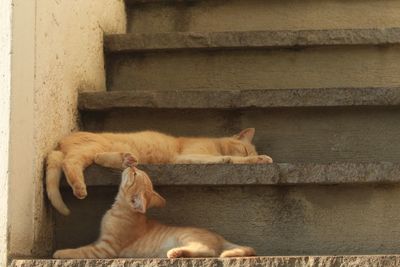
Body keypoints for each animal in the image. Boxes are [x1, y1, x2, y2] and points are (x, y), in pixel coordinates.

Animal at [46, 127, 272, 216]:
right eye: (245, 149)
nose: (250, 153)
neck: (217, 145)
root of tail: (60, 143)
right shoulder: (186, 156)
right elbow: (232, 160)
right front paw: (258, 159)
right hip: (90, 147)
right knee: (70, 162)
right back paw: (79, 188)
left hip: (98, 150)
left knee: (99, 158)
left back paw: (127, 159)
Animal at [52, 154, 256, 260]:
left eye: (135, 175)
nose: (132, 166)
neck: (120, 210)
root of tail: (219, 237)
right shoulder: (99, 241)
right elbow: (85, 245)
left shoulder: (106, 249)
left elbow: (81, 251)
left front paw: (61, 252)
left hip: (187, 237)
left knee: (209, 251)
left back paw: (176, 252)